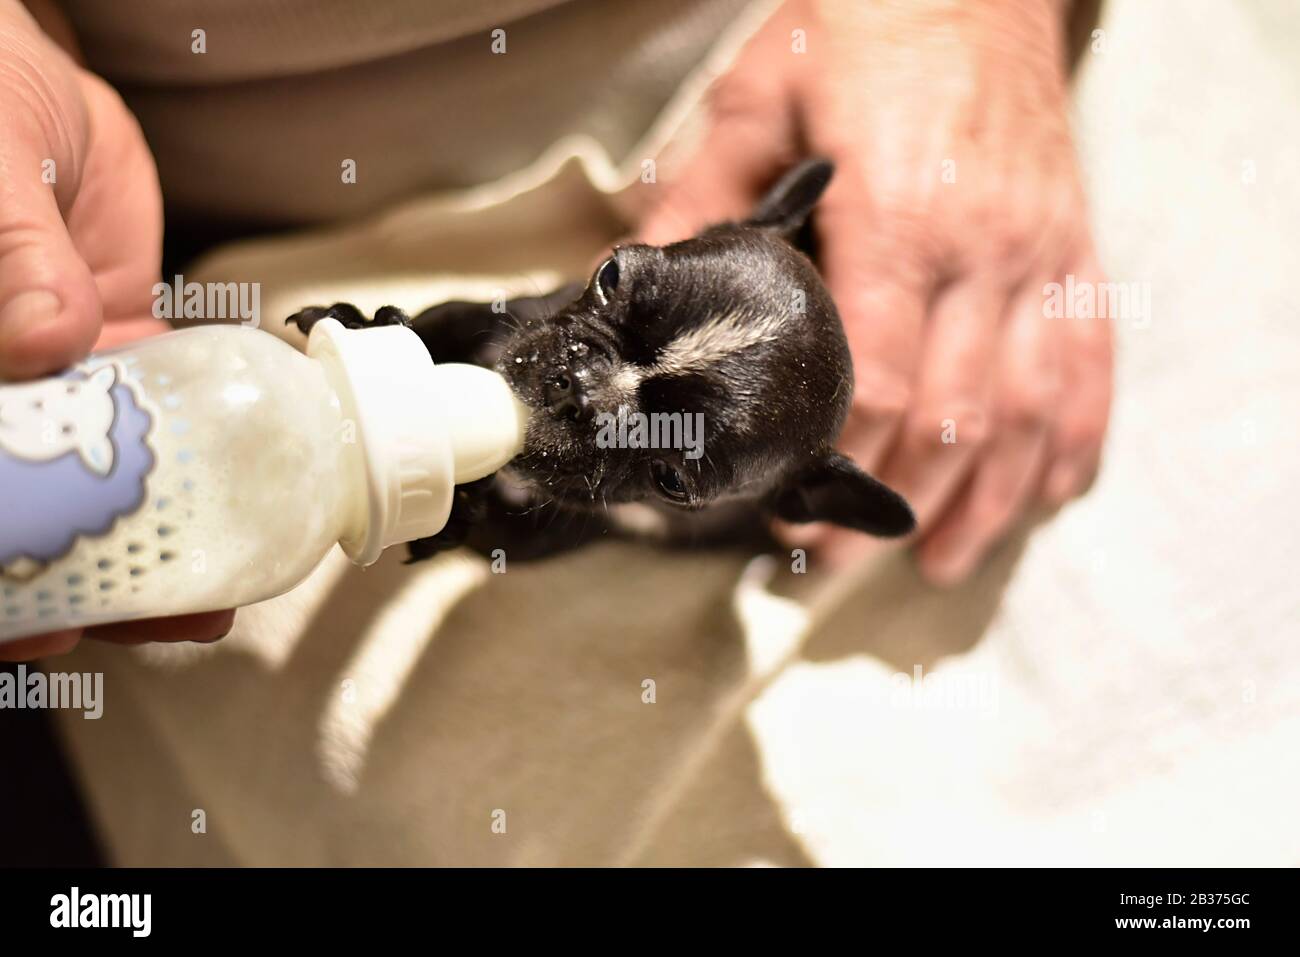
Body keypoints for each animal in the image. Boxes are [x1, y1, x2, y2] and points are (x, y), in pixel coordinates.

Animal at [291, 157, 915, 561]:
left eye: (671, 479)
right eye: (610, 275)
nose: (576, 385)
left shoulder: (538, 535)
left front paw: (458, 502)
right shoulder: (516, 314)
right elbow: (448, 317)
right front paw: (365, 326)